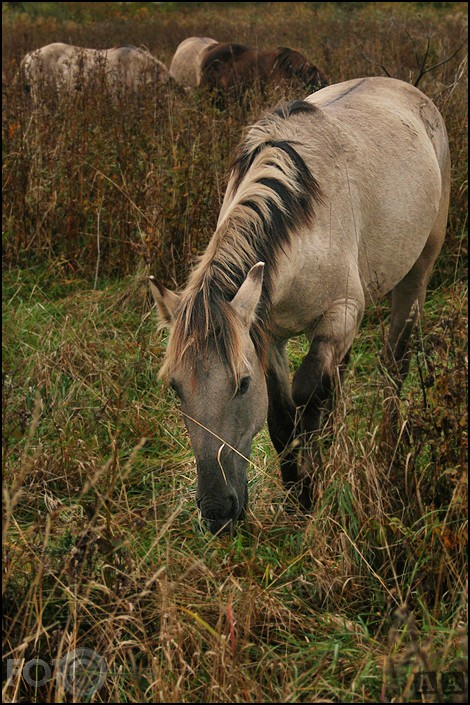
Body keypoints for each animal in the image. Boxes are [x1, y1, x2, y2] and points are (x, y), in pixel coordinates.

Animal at [151, 77, 452, 532]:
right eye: (175, 387)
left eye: (242, 384)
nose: (217, 512)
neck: (302, 225)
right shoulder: (268, 334)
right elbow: (281, 415)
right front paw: (296, 489)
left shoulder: (338, 316)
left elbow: (308, 396)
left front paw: (311, 485)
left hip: (419, 270)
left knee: (395, 361)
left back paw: (390, 435)